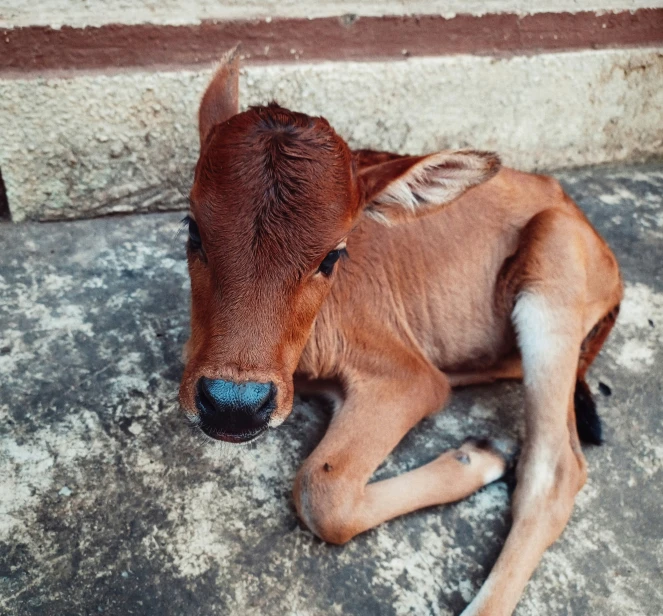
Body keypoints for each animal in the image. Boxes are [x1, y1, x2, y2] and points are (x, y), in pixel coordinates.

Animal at [178, 49, 624, 616]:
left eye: (332, 256)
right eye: (193, 230)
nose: (233, 406)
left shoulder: (406, 376)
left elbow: (323, 493)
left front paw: (473, 458)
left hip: (554, 269)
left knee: (553, 473)